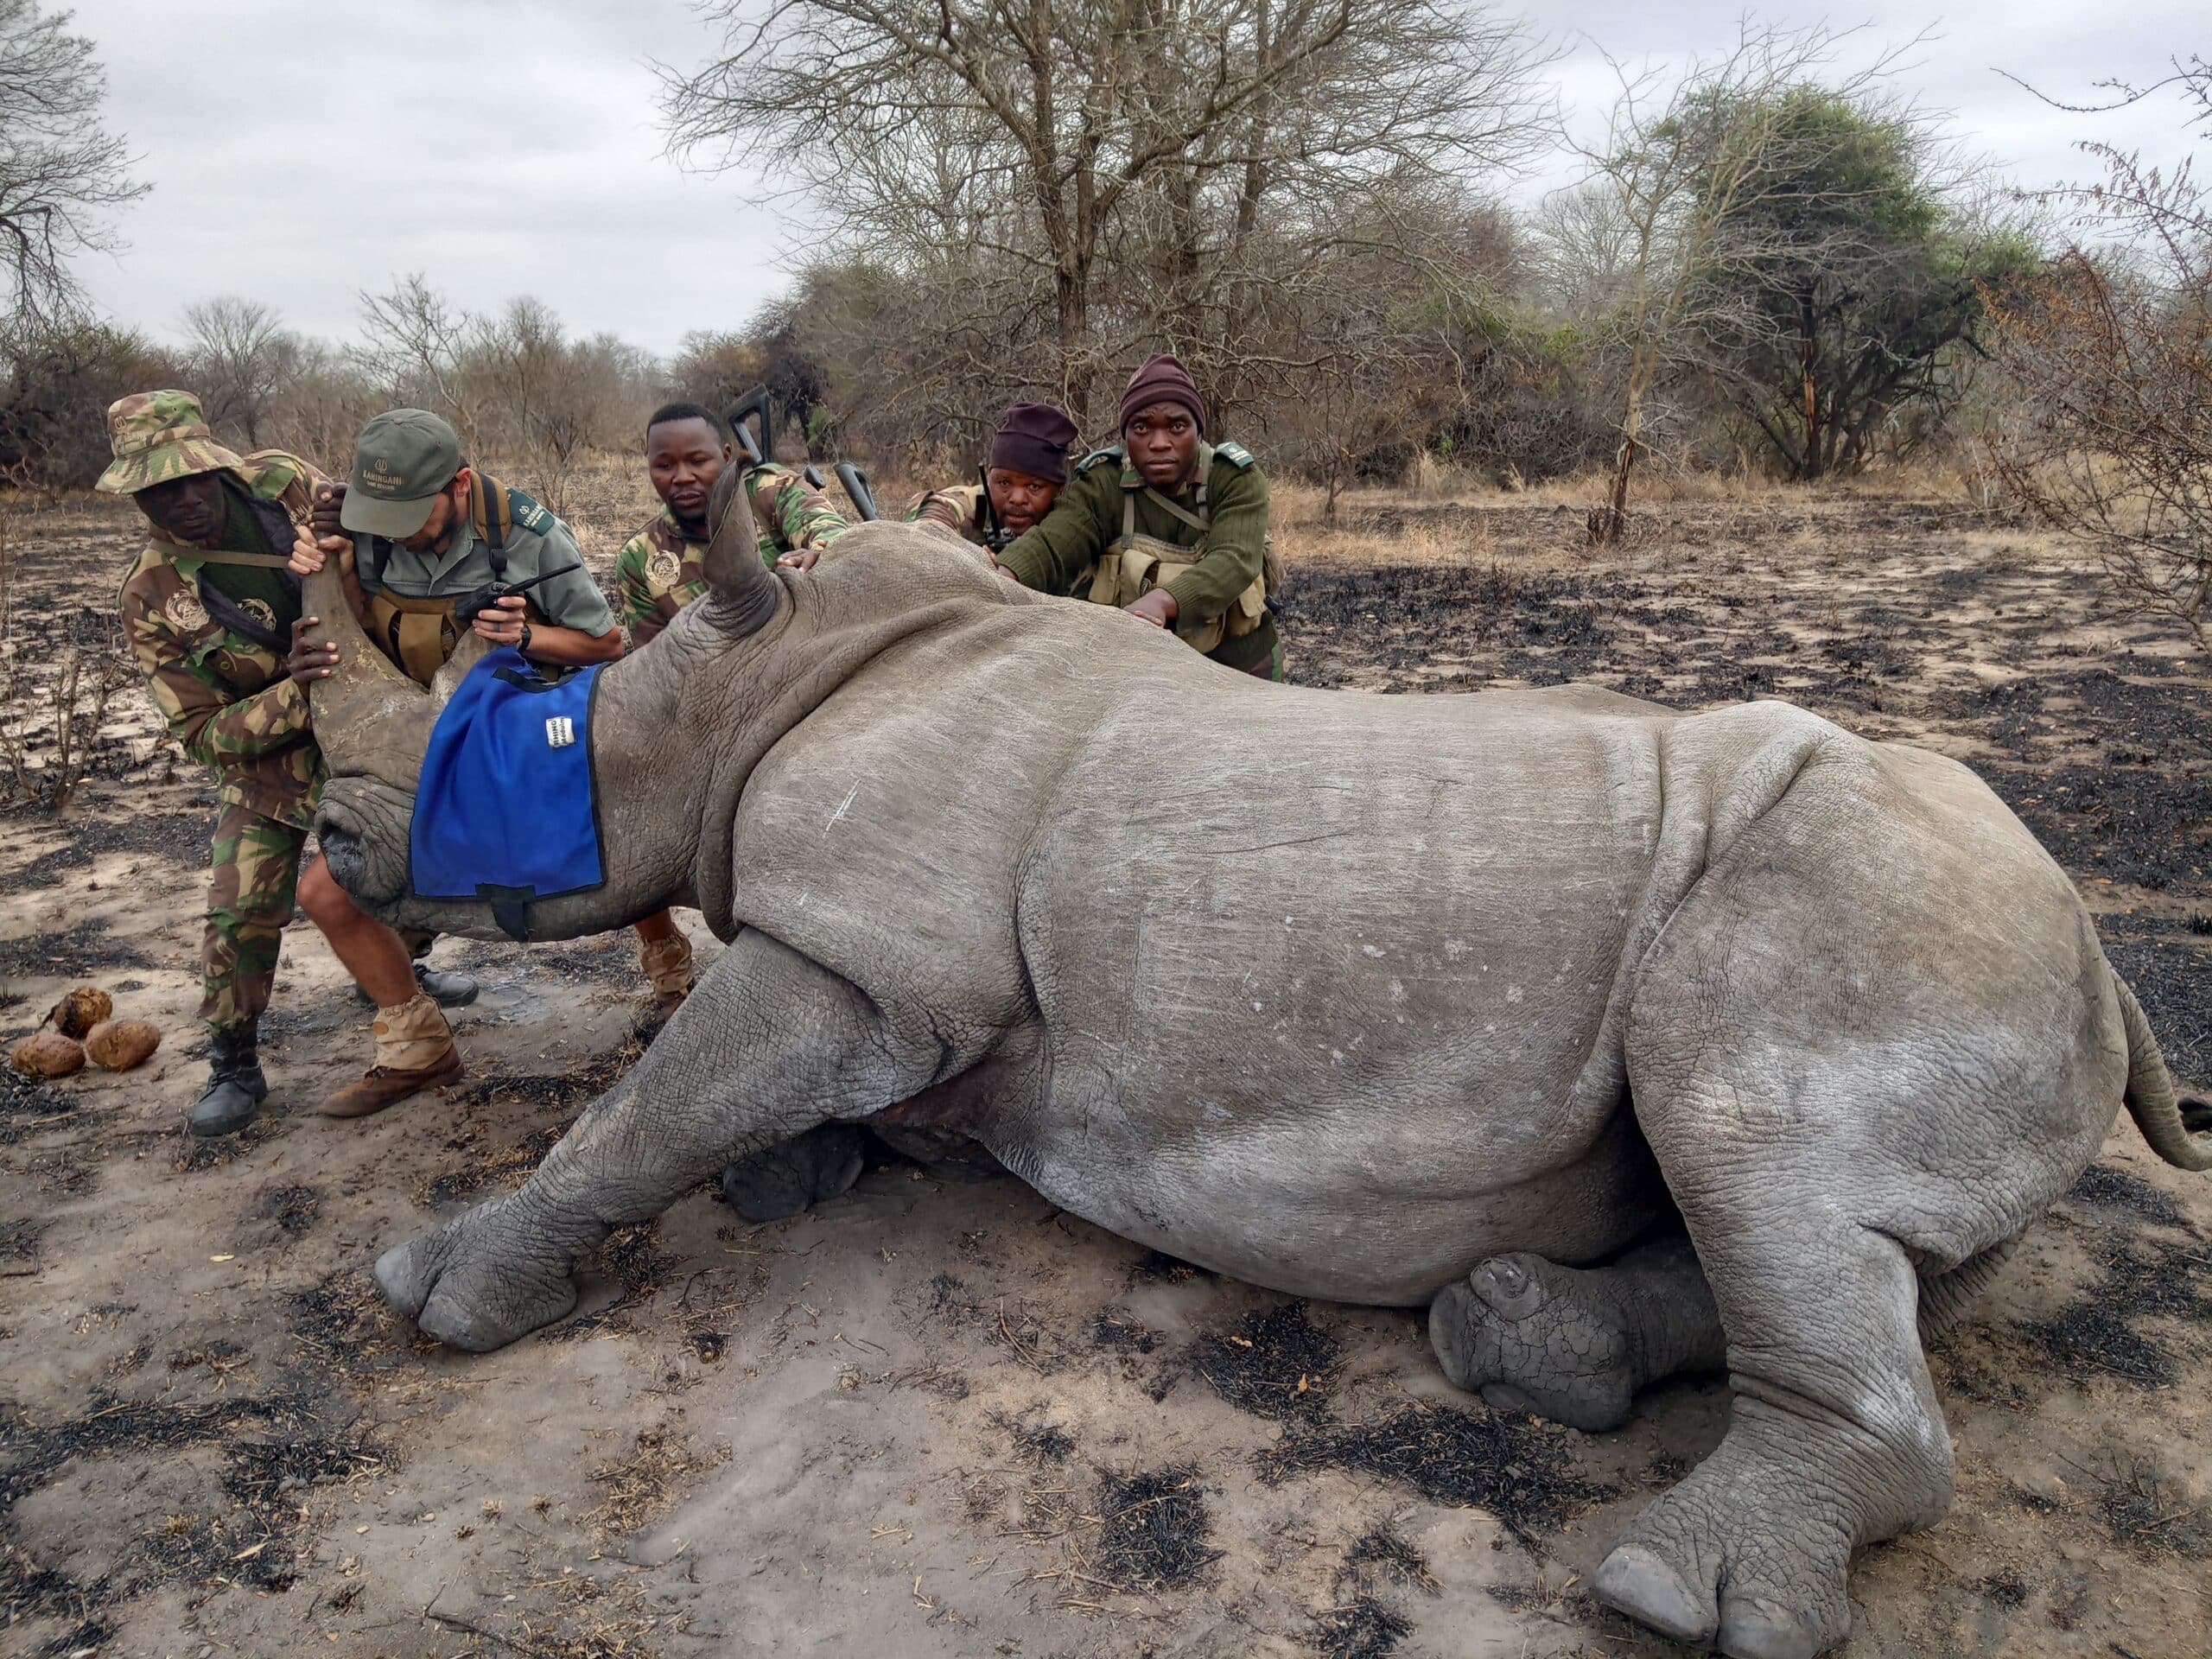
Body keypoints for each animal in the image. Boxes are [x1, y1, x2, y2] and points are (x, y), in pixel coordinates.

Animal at [302, 478, 2211, 1659]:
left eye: (537, 748)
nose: (328, 834)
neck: (750, 685)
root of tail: (2107, 958)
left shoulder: (866, 964)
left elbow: (641, 1109)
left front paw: (434, 1295)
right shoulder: (891, 998)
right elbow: (726, 1105)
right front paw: (799, 1173)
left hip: (1889, 901)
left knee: (1746, 1126)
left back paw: (1668, 1584)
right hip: (1964, 927)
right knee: (1810, 1211)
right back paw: (1518, 1341)